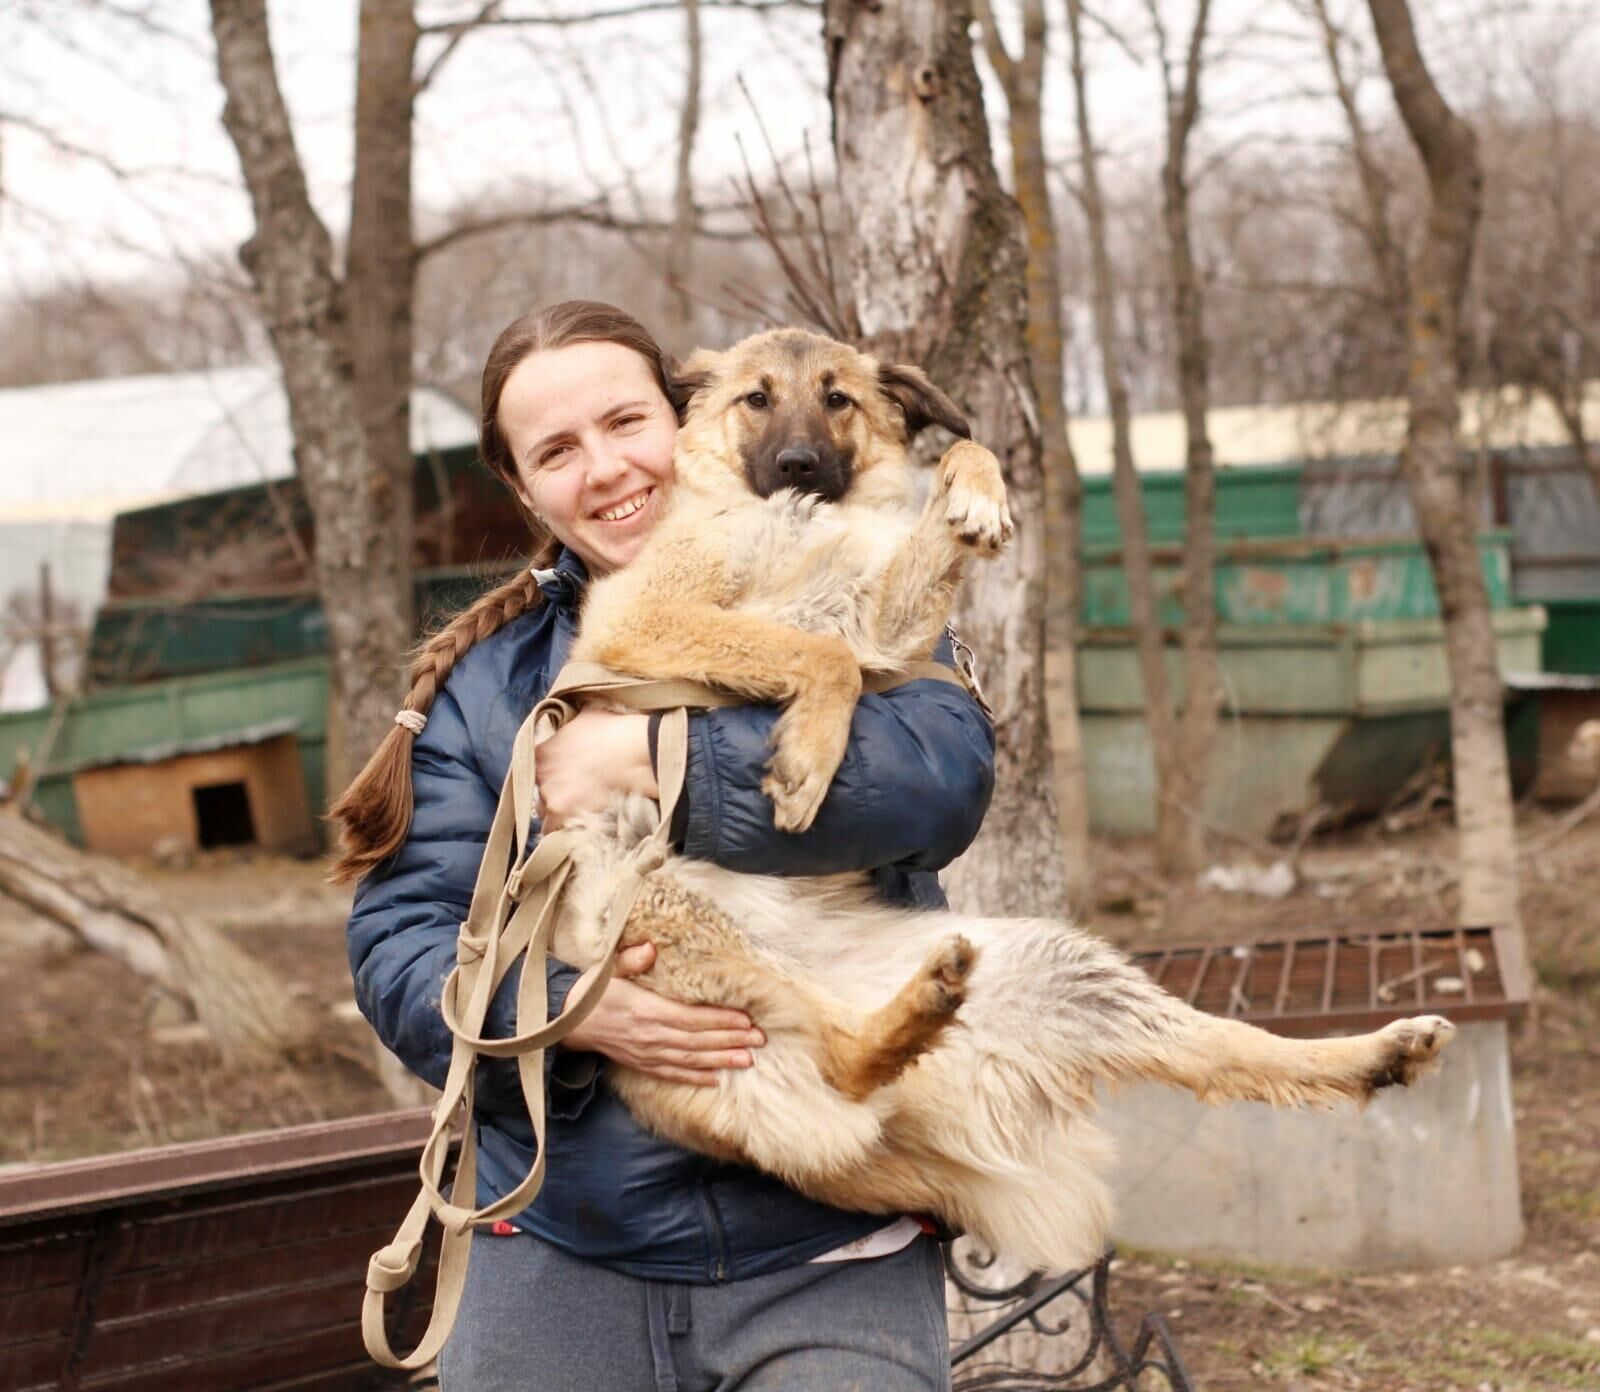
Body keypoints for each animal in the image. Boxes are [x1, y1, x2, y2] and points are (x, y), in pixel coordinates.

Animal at [537, 324, 1452, 1273]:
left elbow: (926, 519)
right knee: (839, 1053)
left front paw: (976, 488)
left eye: (837, 399)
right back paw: (914, 1008)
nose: (796, 464)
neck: (804, 514)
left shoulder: (880, 618)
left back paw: (1379, 1052)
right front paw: (809, 759)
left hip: (1064, 969)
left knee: (1224, 1050)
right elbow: (816, 655)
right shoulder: (645, 622)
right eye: (756, 399)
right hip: (659, 906)